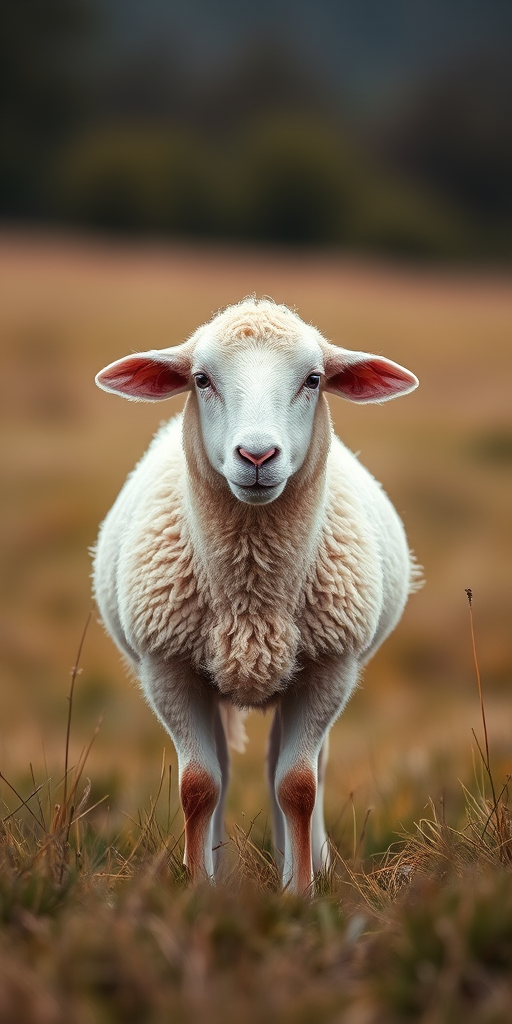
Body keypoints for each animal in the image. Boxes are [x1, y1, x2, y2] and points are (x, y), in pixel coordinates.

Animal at [93, 298, 420, 893]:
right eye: (201, 380)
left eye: (313, 379)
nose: (258, 456)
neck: (251, 598)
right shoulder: (167, 669)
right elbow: (199, 785)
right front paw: (198, 888)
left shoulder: (329, 670)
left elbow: (298, 786)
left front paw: (301, 893)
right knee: (224, 766)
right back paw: (218, 865)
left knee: (288, 767)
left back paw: (309, 860)